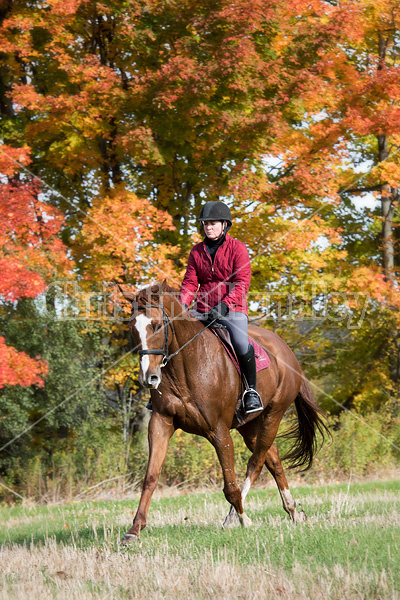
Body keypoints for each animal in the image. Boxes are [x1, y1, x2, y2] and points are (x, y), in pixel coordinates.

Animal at [121, 282, 328, 544]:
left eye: (157, 325)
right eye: (132, 328)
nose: (149, 378)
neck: (184, 367)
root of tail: (284, 349)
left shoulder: (218, 431)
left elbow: (230, 484)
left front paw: (243, 520)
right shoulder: (160, 423)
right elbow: (150, 478)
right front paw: (134, 530)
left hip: (273, 414)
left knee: (256, 462)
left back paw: (234, 517)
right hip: (249, 425)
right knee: (272, 459)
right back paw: (292, 511)